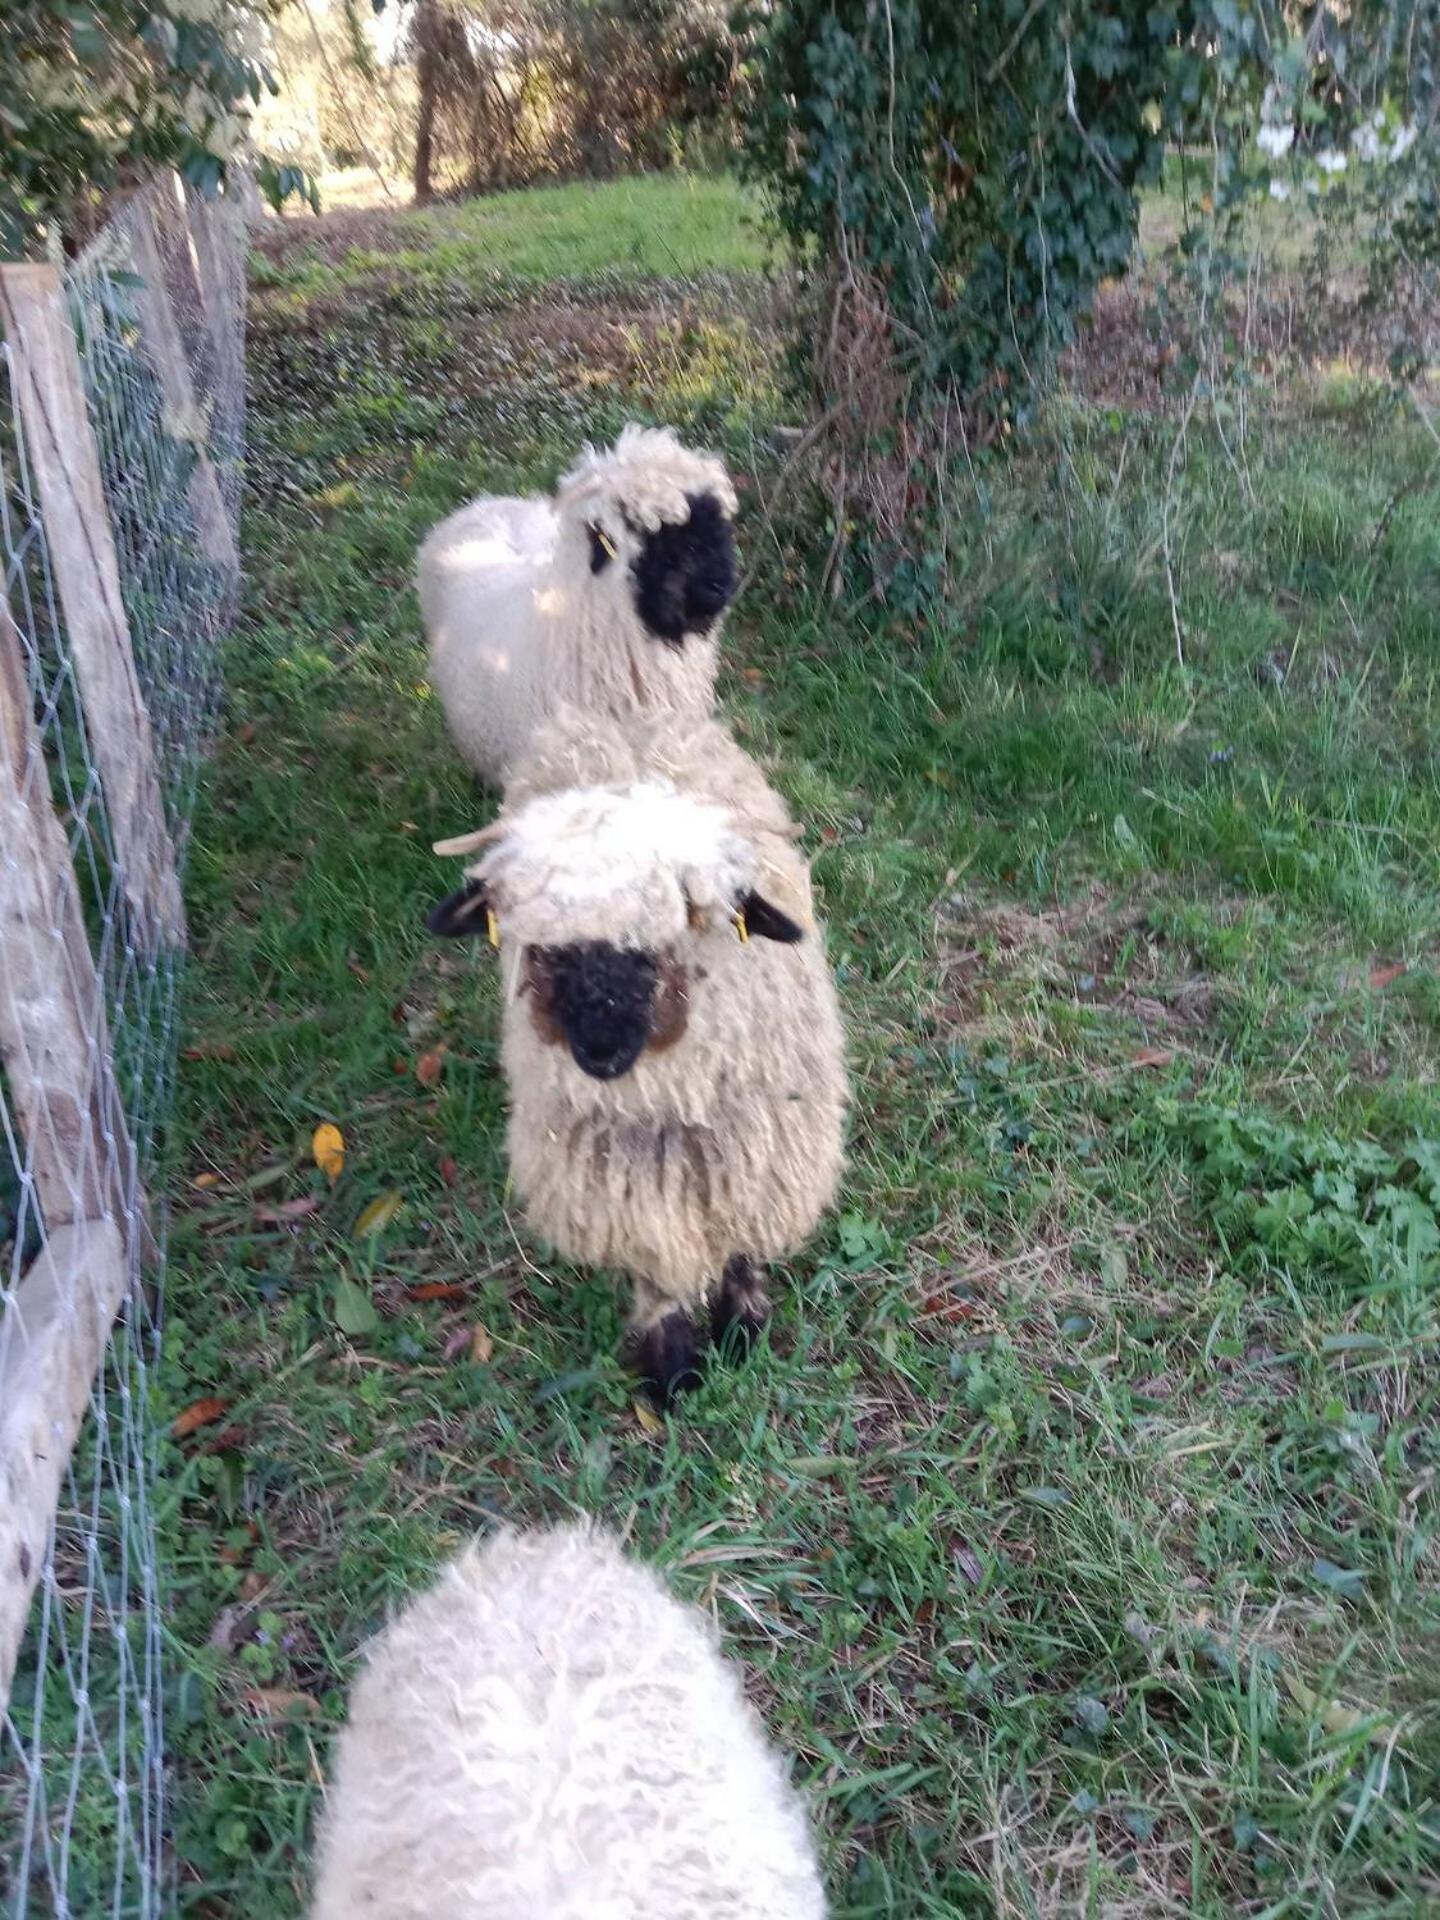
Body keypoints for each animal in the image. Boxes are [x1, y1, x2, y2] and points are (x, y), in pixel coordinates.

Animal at [432, 714, 856, 1405]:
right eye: (539, 947)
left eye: (672, 932)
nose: (599, 1051)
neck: (669, 1105)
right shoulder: (621, 1179)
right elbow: (655, 1269)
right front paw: (672, 1368)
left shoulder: (755, 1148)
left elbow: (740, 1241)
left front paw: (743, 1328)